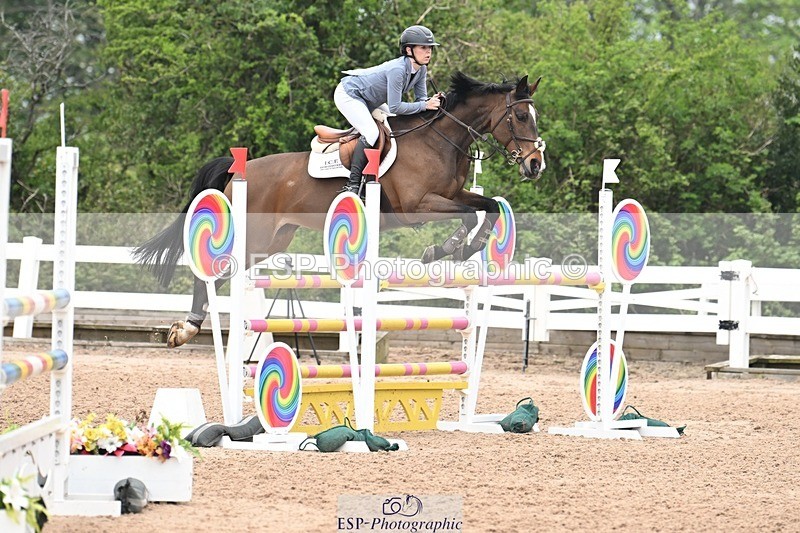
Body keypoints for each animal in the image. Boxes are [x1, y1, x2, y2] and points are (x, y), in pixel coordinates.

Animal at [134, 71, 546, 348]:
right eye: (520, 117)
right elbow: (467, 214)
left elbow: (487, 207)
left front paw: (469, 247)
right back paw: (186, 329)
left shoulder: (455, 193)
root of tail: (238, 172)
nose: (535, 165)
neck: (440, 140)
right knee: (209, 274)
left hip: (272, 242)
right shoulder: (418, 206)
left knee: (221, 277)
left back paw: (189, 327)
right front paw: (444, 249)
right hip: (255, 236)